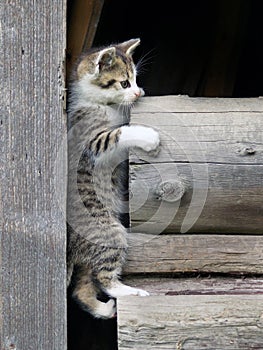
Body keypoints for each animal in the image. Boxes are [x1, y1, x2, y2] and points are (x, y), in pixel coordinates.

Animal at [67, 39, 160, 320]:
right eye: (124, 83)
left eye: (136, 79)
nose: (138, 93)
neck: (102, 105)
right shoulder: (92, 142)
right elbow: (118, 133)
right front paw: (148, 136)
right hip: (109, 231)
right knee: (103, 278)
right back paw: (130, 291)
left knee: (82, 288)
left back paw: (104, 308)